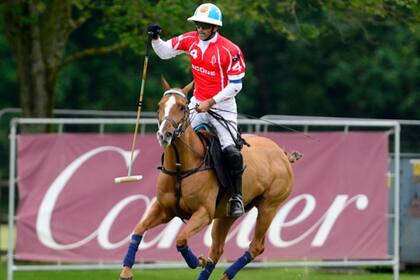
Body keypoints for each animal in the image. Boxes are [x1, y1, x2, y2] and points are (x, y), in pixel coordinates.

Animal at [120, 80, 296, 278]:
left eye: (182, 107)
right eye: (160, 105)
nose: (164, 134)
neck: (181, 167)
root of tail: (282, 153)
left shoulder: (203, 213)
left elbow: (180, 239)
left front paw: (198, 260)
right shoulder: (164, 209)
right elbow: (138, 229)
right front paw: (126, 270)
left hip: (269, 206)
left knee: (256, 246)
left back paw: (226, 273)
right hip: (226, 215)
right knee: (217, 250)